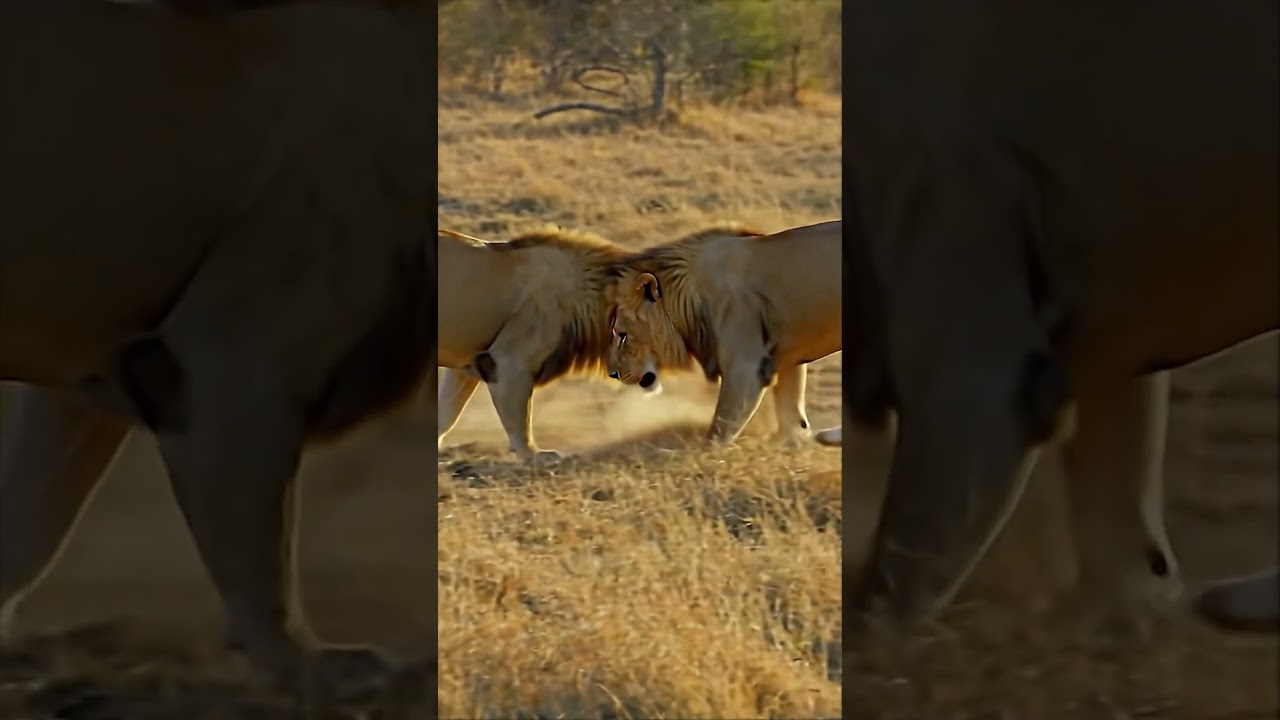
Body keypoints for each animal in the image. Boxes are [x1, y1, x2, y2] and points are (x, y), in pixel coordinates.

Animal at [607, 221, 842, 444]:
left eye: (622, 335)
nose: (612, 374)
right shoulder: (785, 355)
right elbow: (790, 409)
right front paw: (794, 441)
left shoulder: (746, 366)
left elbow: (720, 427)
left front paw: (704, 454)